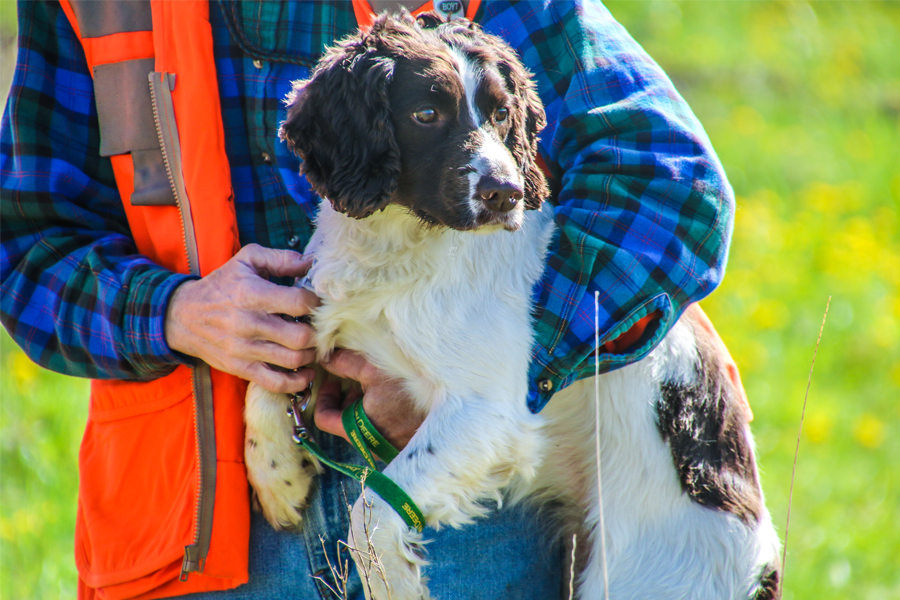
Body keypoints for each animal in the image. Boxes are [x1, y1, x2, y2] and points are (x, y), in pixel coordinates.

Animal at [244, 14, 780, 600]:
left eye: (502, 114)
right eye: (426, 114)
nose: (506, 193)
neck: (402, 249)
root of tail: (763, 563)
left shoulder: (488, 413)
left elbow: (373, 511)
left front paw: (394, 582)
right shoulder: (323, 305)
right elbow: (267, 373)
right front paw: (278, 477)